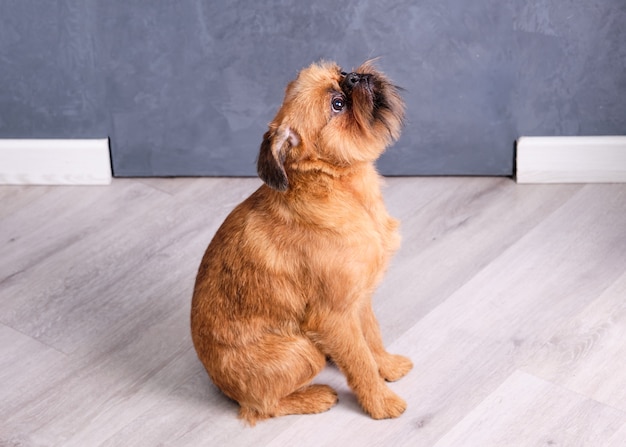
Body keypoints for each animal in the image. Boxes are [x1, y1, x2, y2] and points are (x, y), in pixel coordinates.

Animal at [190, 60, 414, 428]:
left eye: (341, 72)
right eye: (338, 104)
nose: (354, 76)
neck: (340, 187)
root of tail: (219, 384)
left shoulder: (359, 299)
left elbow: (372, 338)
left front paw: (388, 366)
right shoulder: (334, 316)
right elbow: (360, 362)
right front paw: (380, 402)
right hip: (302, 352)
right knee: (261, 407)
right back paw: (315, 397)